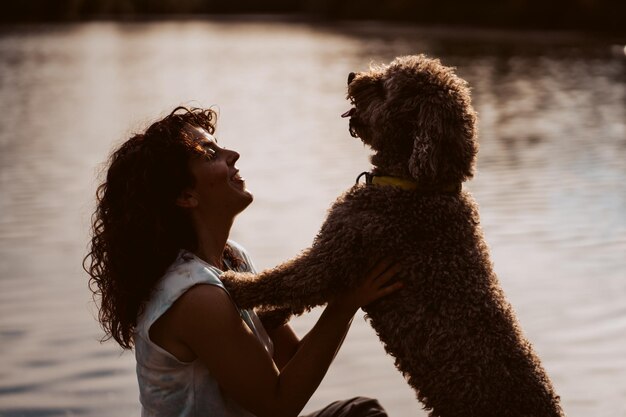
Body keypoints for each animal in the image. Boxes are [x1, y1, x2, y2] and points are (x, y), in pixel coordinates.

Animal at [222, 55, 564, 416]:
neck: (418, 186)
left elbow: (286, 279)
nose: (352, 75)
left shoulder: (334, 254)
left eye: (385, 86)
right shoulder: (347, 264)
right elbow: (300, 295)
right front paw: (269, 316)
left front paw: (237, 286)